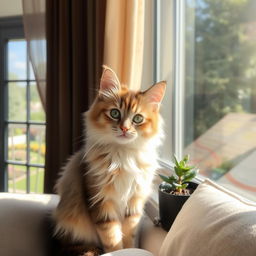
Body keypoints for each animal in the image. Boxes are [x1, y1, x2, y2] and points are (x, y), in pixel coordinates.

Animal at [53, 65, 166, 253]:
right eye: (115, 113)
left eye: (138, 118)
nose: (124, 129)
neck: (123, 155)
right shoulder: (100, 202)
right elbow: (112, 238)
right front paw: (117, 252)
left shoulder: (134, 204)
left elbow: (128, 236)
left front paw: (128, 250)